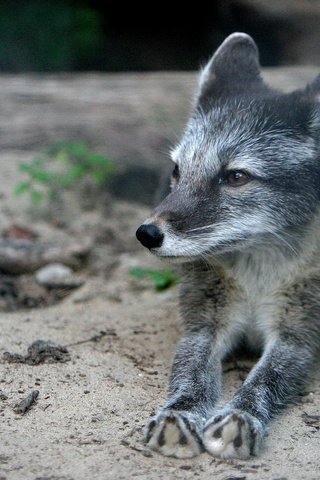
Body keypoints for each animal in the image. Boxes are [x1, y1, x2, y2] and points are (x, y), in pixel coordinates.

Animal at [135, 31, 320, 460]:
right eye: (177, 171)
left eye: (236, 176)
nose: (147, 233)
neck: (258, 277)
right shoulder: (203, 323)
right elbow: (191, 372)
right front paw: (179, 413)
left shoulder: (300, 336)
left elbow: (265, 379)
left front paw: (240, 416)